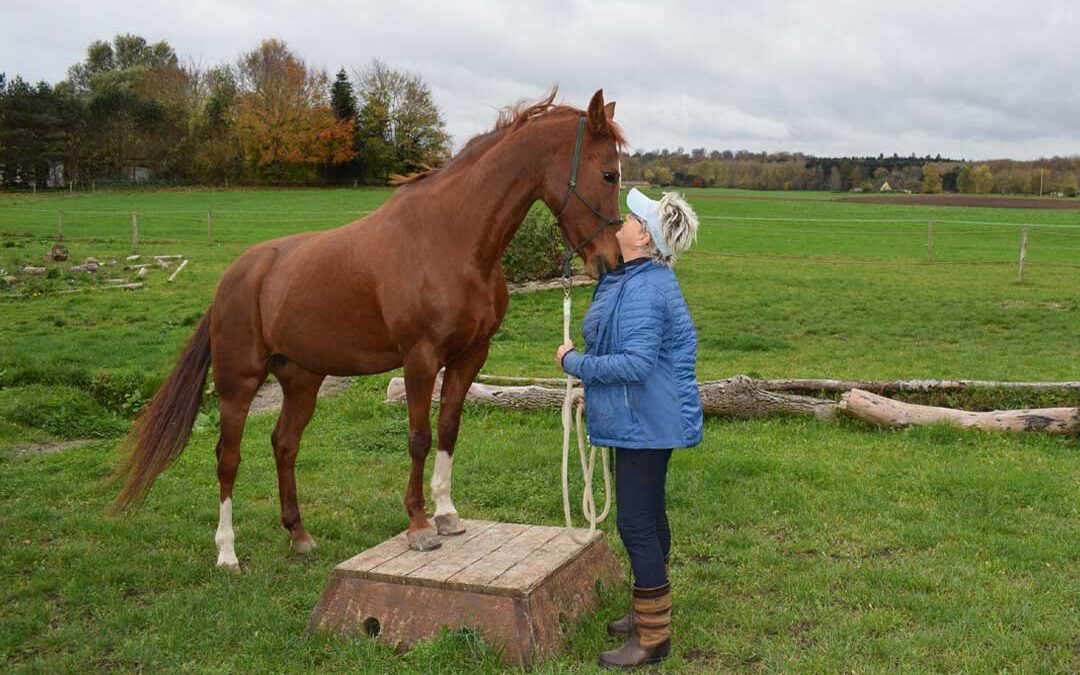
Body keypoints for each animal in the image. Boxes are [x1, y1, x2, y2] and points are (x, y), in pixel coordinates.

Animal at [111, 86, 626, 565]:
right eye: (608, 173)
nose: (610, 262)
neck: (451, 238)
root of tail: (237, 275)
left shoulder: (470, 355)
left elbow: (449, 428)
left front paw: (447, 514)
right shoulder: (420, 358)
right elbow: (418, 438)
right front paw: (419, 525)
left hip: (302, 380)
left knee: (284, 444)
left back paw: (298, 534)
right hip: (238, 383)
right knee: (228, 458)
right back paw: (227, 553)